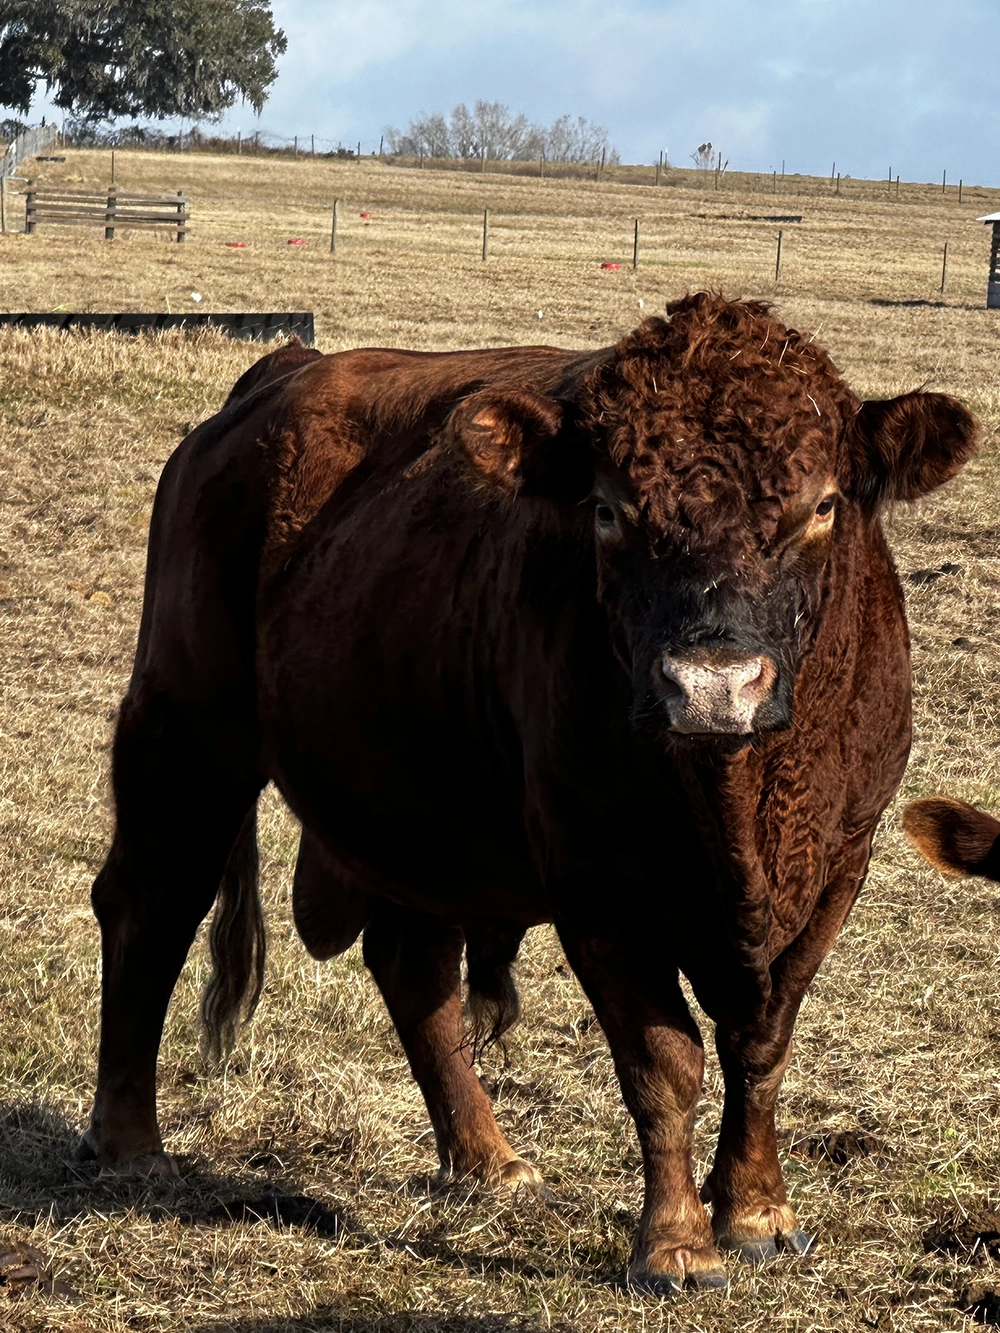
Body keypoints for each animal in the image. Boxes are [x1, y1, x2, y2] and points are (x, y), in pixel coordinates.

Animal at [80, 293, 976, 1293]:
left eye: (822, 504)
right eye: (610, 510)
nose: (711, 685)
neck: (737, 810)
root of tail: (283, 371)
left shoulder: (838, 865)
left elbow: (762, 1043)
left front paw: (757, 1211)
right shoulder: (597, 883)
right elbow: (664, 1060)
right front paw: (677, 1244)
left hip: (417, 807)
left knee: (412, 967)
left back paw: (487, 1160)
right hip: (187, 730)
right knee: (150, 907)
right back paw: (129, 1142)